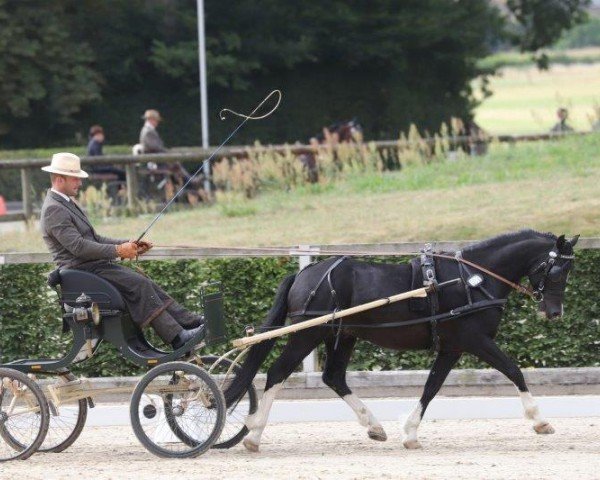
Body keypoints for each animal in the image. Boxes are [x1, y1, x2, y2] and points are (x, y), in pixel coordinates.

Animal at [224, 229, 576, 450]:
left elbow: (432, 386)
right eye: (557, 271)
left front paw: (409, 432)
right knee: (278, 372)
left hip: (342, 335)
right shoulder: (474, 340)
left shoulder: (452, 347)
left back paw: (374, 426)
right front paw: (540, 421)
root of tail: (304, 274)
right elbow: (514, 371)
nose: (554, 312)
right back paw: (254, 435)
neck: (472, 281)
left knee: (334, 376)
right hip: (308, 333)